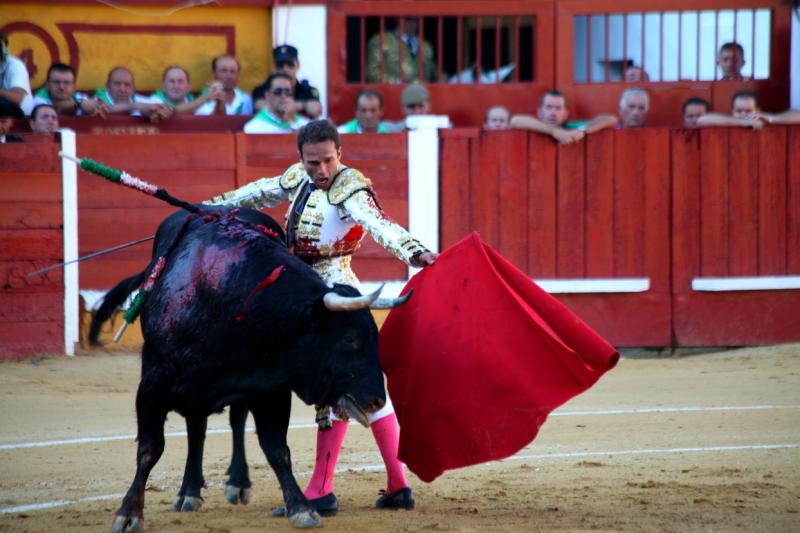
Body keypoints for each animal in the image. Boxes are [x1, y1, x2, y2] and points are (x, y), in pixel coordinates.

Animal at [88, 207, 388, 528]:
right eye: (349, 338)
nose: (377, 399)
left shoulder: (269, 389)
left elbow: (277, 449)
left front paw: (300, 507)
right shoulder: (153, 385)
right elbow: (149, 448)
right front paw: (128, 513)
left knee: (228, 422)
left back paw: (234, 483)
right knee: (197, 429)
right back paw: (189, 492)